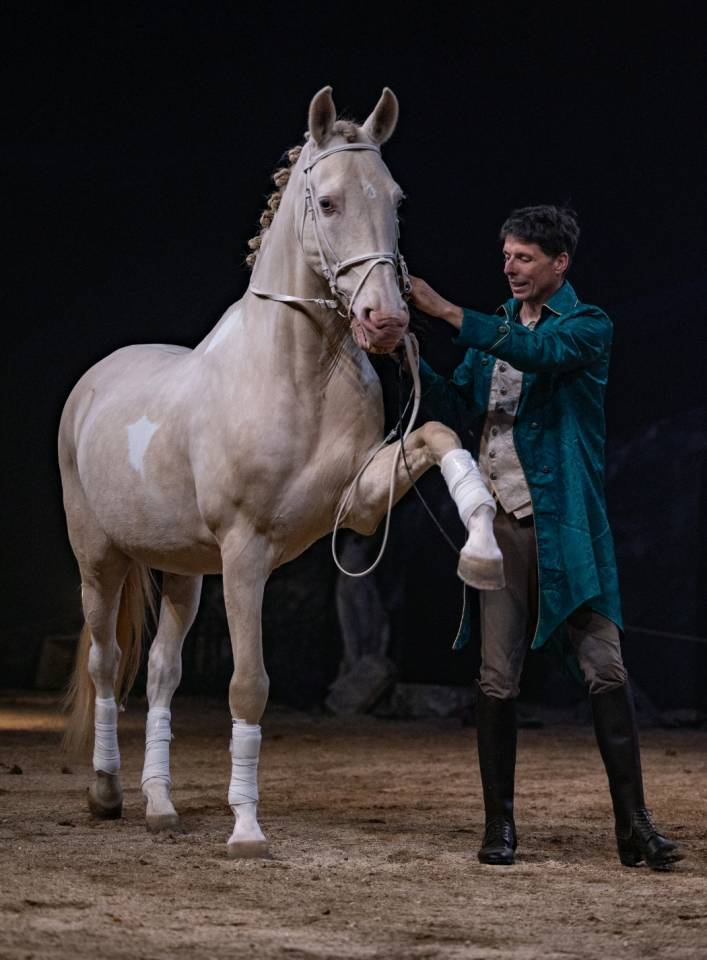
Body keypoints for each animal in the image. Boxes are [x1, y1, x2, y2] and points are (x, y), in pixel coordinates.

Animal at [60, 86, 504, 858]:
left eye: (397, 199)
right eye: (325, 202)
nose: (386, 321)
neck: (296, 374)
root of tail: (93, 383)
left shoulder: (358, 504)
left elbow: (440, 434)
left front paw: (481, 548)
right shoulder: (245, 553)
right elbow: (249, 685)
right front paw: (246, 829)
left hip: (183, 570)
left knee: (162, 672)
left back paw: (159, 804)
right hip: (100, 559)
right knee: (108, 663)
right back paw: (107, 793)